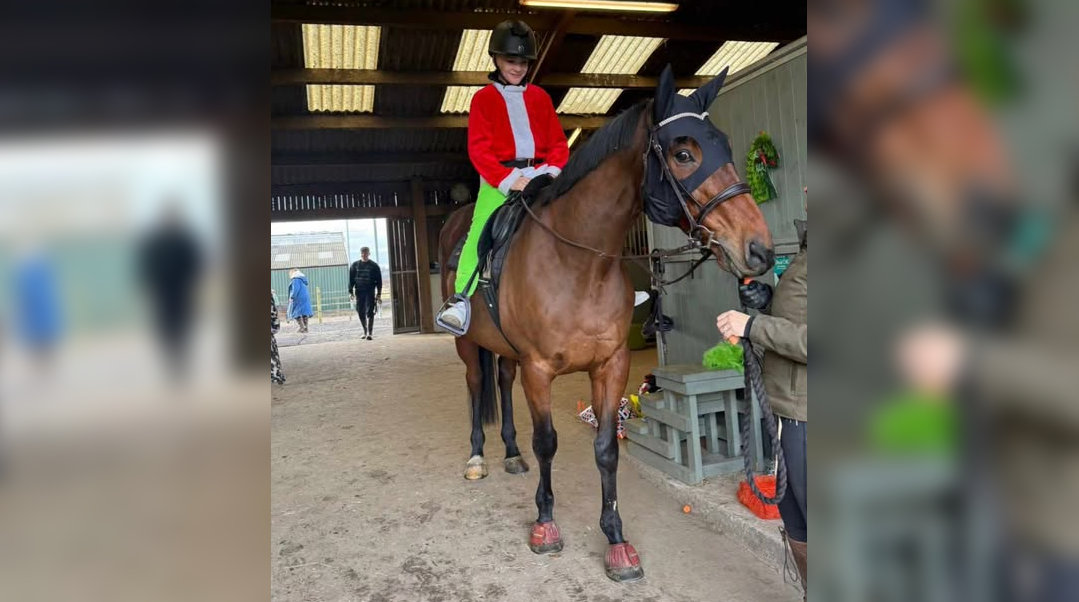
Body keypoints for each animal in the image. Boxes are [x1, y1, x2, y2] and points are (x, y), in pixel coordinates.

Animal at [438, 65, 774, 582]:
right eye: (683, 153)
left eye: (726, 147)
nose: (758, 249)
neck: (578, 262)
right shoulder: (540, 370)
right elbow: (548, 443)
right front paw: (545, 525)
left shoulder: (610, 365)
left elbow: (605, 450)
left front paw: (616, 540)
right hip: (468, 345)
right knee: (477, 385)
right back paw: (478, 457)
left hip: (508, 353)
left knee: (502, 381)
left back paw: (511, 454)